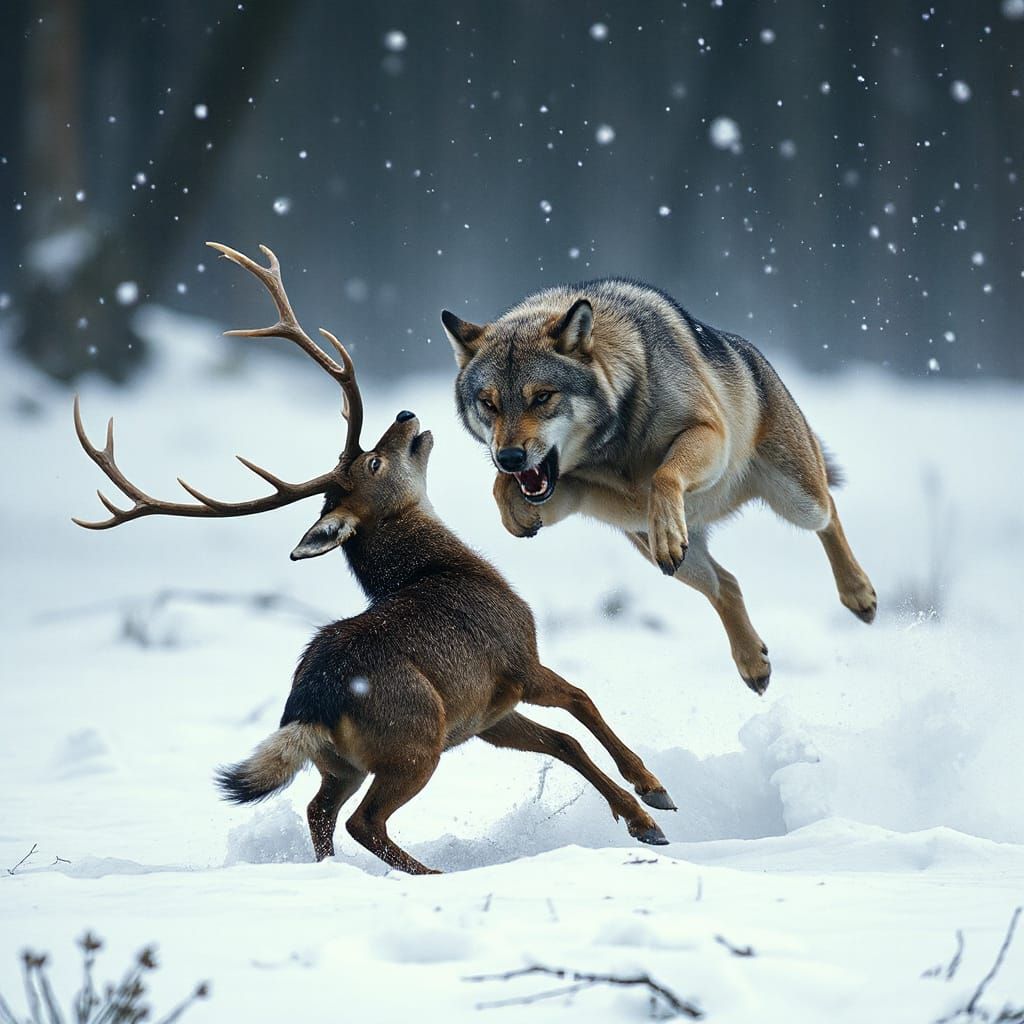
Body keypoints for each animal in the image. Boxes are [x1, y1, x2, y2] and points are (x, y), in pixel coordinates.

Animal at [72, 242, 677, 875]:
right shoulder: (516, 659)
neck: (449, 568)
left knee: (318, 809)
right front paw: (654, 792)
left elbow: (565, 742)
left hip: (342, 760)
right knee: (364, 820)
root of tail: (312, 704)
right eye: (374, 463)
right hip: (416, 740)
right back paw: (431, 874)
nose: (408, 416)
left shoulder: (486, 715)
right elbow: (583, 702)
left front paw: (644, 821)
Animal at [442, 279, 876, 694]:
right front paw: (516, 515)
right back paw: (754, 663)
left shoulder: (708, 433)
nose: (510, 457)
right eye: (489, 403)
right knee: (726, 585)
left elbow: (664, 475)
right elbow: (499, 488)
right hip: (664, 553)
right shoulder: (573, 492)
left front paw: (667, 527)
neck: (614, 442)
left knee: (829, 514)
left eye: (542, 397)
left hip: (798, 500)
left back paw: (859, 595)